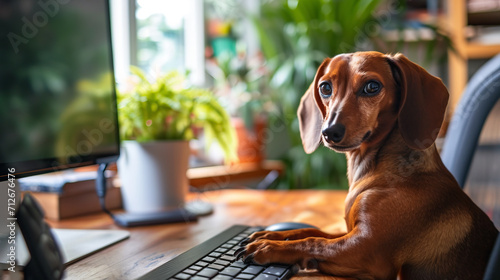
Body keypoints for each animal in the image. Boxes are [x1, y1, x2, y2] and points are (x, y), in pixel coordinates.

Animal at [238, 51, 500, 278]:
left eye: (372, 87)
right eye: (325, 87)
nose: (329, 132)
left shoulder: (366, 252)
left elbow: (315, 242)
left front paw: (269, 248)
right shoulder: (349, 232)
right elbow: (310, 230)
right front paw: (270, 234)